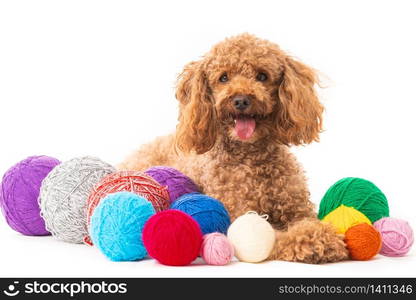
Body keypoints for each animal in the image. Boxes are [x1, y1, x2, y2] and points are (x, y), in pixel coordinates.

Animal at [118, 32, 350, 262]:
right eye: (223, 78)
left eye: (262, 76)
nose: (241, 100)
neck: (251, 157)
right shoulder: (238, 211)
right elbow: (271, 236)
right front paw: (312, 241)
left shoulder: (298, 208)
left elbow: (308, 221)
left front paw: (321, 234)